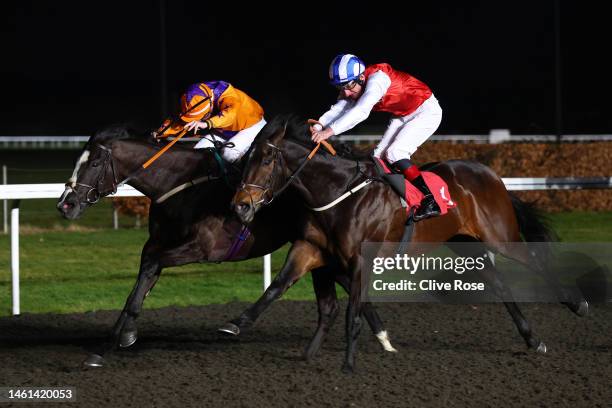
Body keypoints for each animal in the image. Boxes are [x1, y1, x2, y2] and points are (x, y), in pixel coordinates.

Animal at [56, 126, 392, 366]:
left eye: (94, 162)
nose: (65, 204)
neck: (179, 184)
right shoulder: (156, 244)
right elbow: (138, 286)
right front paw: (107, 346)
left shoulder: (201, 249)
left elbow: (150, 270)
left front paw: (125, 335)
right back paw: (384, 338)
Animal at [233, 115, 588, 372]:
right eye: (246, 159)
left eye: (267, 160)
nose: (240, 206)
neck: (337, 192)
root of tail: (490, 174)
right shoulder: (310, 248)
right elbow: (277, 286)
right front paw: (237, 323)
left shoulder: (360, 260)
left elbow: (353, 311)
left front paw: (349, 363)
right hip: (465, 242)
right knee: (500, 285)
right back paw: (532, 339)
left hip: (499, 236)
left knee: (536, 261)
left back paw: (577, 304)